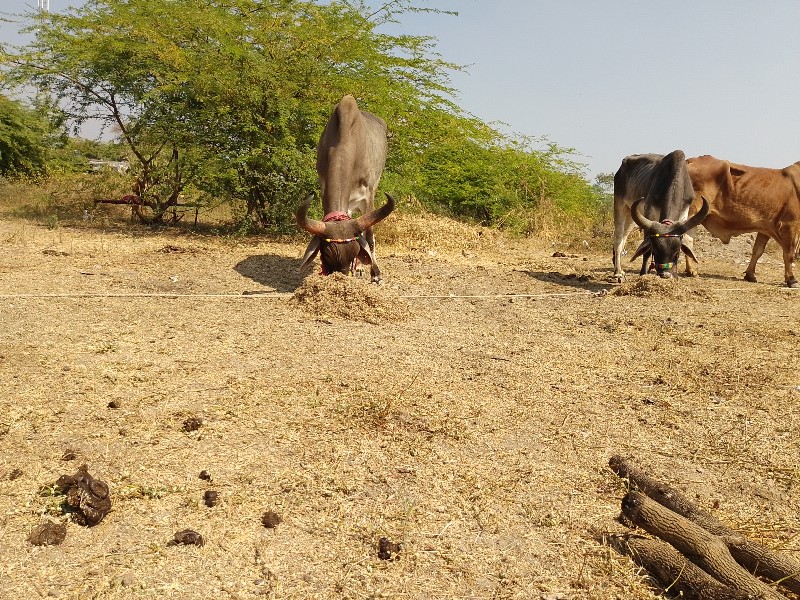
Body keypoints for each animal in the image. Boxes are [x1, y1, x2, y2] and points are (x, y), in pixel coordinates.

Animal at [296, 94, 396, 282]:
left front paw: (375, 273)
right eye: (326, 254)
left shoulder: (368, 196)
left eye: (354, 251)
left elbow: (369, 237)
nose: (340, 275)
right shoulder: (324, 189)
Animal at [616, 150, 708, 282]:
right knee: (618, 239)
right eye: (656, 249)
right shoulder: (649, 212)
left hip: (630, 215)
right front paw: (643, 274)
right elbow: (646, 250)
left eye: (677, 251)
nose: (665, 274)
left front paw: (675, 276)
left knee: (624, 237)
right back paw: (618, 272)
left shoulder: (684, 212)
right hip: (619, 205)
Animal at [684, 156, 800, 290]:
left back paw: (690, 270)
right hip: (693, 210)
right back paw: (689, 270)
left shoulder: (766, 227)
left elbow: (758, 251)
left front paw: (750, 275)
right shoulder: (791, 224)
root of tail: (692, 160)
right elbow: (789, 254)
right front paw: (791, 280)